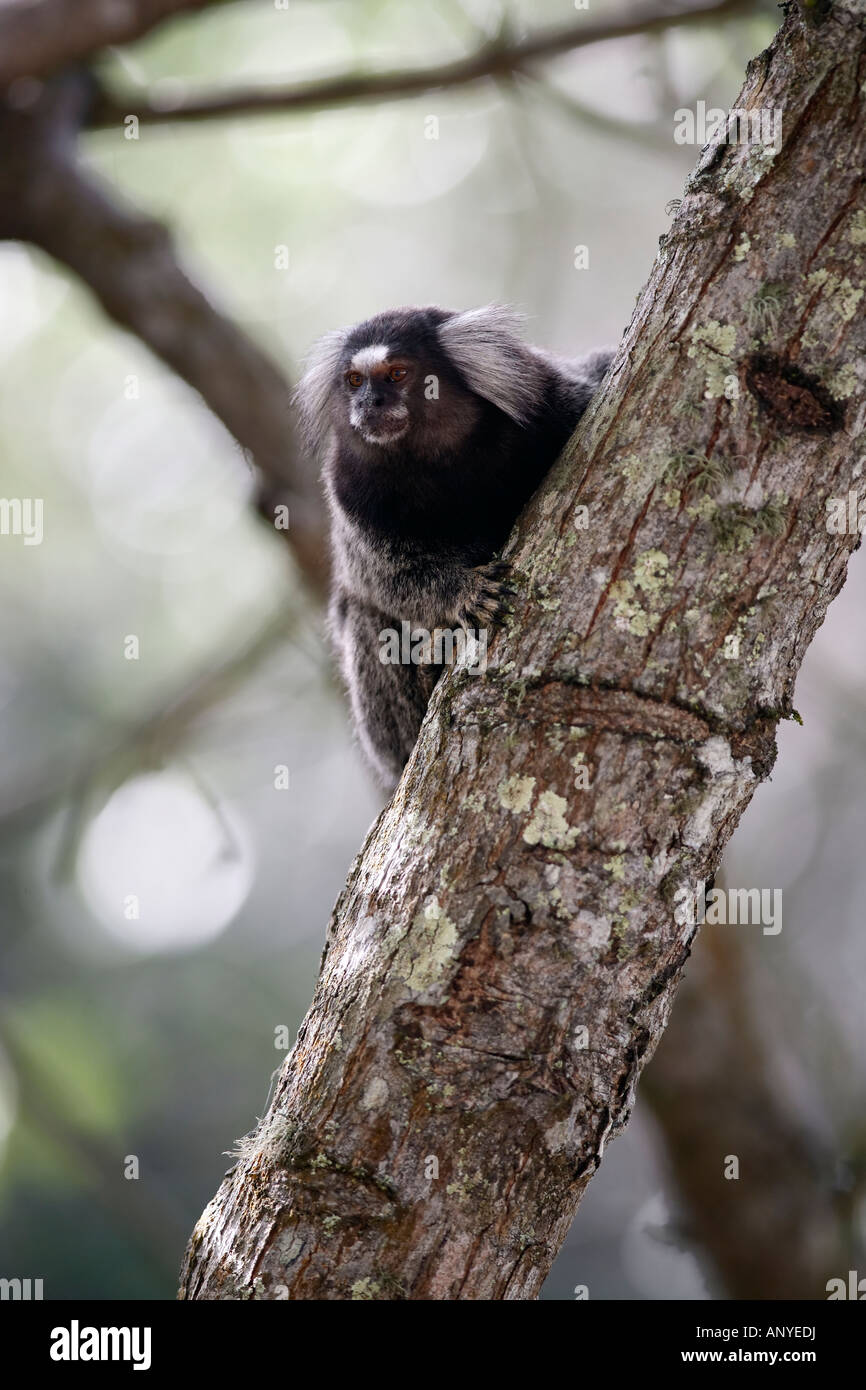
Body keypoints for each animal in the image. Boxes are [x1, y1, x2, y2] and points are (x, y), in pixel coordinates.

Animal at [294, 307, 614, 795]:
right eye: (354, 380)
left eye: (397, 373)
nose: (369, 403)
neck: (434, 462)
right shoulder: (349, 491)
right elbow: (383, 578)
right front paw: (463, 593)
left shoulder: (548, 399)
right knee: (363, 615)